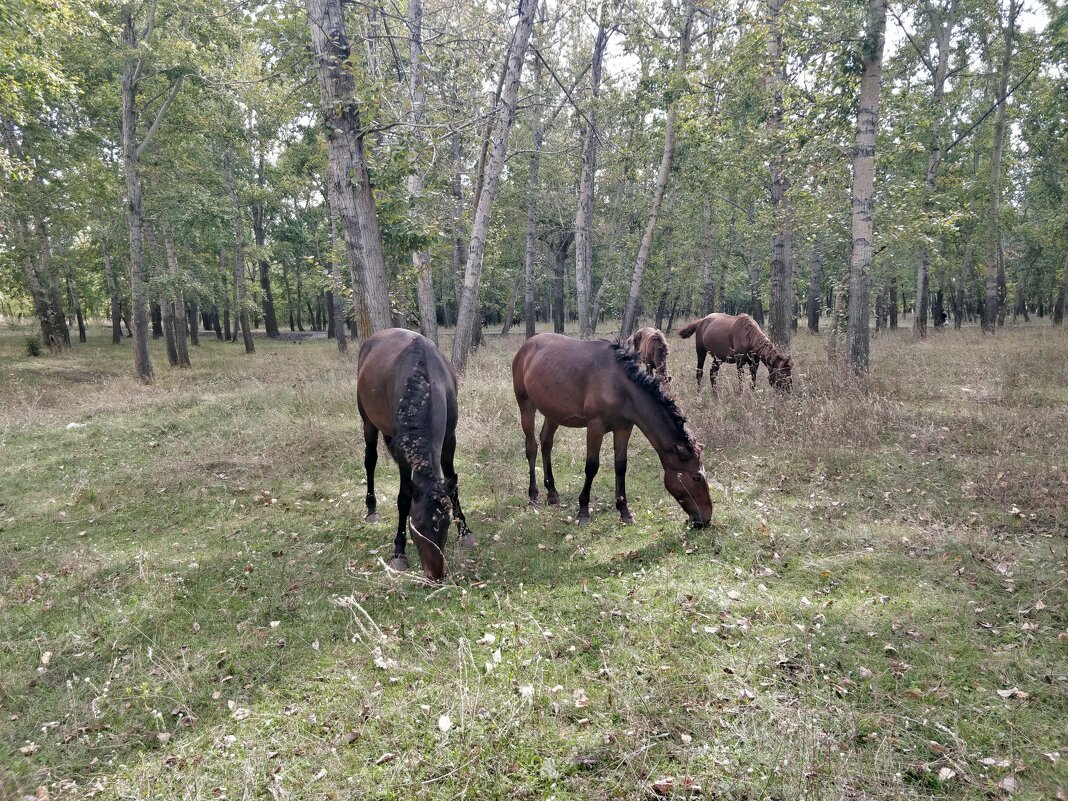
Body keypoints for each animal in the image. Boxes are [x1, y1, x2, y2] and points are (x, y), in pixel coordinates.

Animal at [356, 328, 474, 580]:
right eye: (416, 523)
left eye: (446, 523)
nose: (435, 574)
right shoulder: (404, 453)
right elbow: (403, 498)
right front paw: (399, 551)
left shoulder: (450, 439)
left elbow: (453, 485)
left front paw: (465, 531)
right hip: (367, 421)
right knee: (370, 460)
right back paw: (371, 508)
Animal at [512, 333, 713, 529]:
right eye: (696, 477)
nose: (705, 519)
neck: (619, 385)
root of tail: (526, 346)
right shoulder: (595, 426)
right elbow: (591, 466)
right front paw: (583, 511)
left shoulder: (624, 427)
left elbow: (621, 466)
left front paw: (624, 511)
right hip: (526, 406)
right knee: (532, 447)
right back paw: (533, 495)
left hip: (553, 413)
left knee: (546, 443)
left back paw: (552, 492)